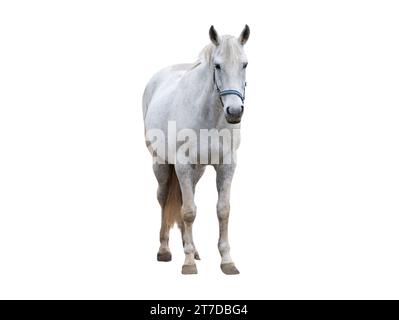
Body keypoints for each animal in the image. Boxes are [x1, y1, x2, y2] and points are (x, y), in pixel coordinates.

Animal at [143, 25, 250, 276]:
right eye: (217, 65)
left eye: (245, 64)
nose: (234, 111)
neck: (209, 116)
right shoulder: (183, 165)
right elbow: (189, 211)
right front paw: (188, 263)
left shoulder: (226, 166)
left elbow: (223, 210)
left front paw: (227, 261)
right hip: (162, 165)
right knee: (163, 199)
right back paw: (165, 250)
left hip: (197, 171)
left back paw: (193, 249)